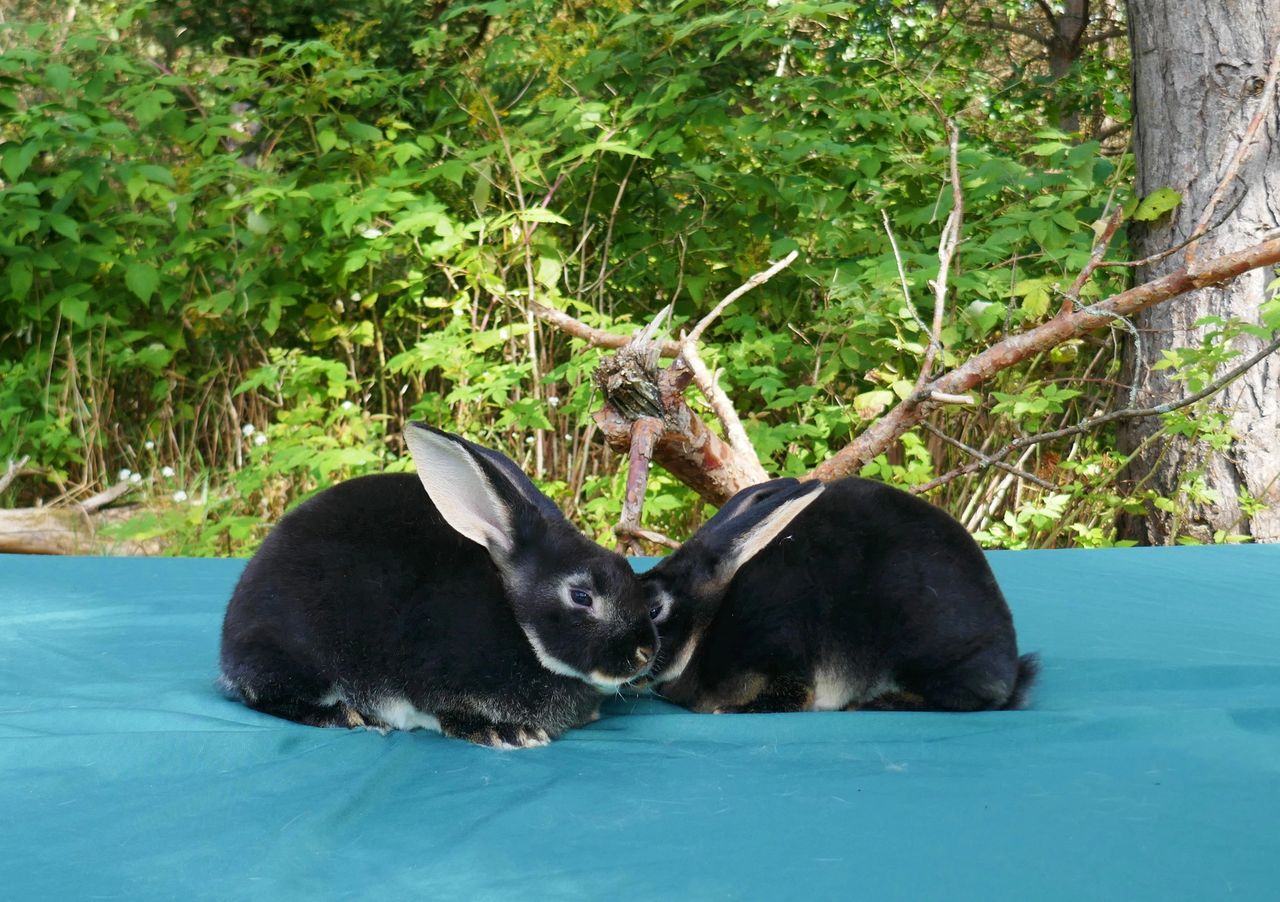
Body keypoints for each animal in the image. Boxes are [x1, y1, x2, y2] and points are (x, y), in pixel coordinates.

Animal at [219, 423, 658, 749]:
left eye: (625, 567)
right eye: (581, 596)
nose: (646, 652)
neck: (519, 627)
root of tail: (228, 650)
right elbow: (451, 714)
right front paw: (506, 733)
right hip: (293, 655)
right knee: (268, 697)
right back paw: (348, 715)